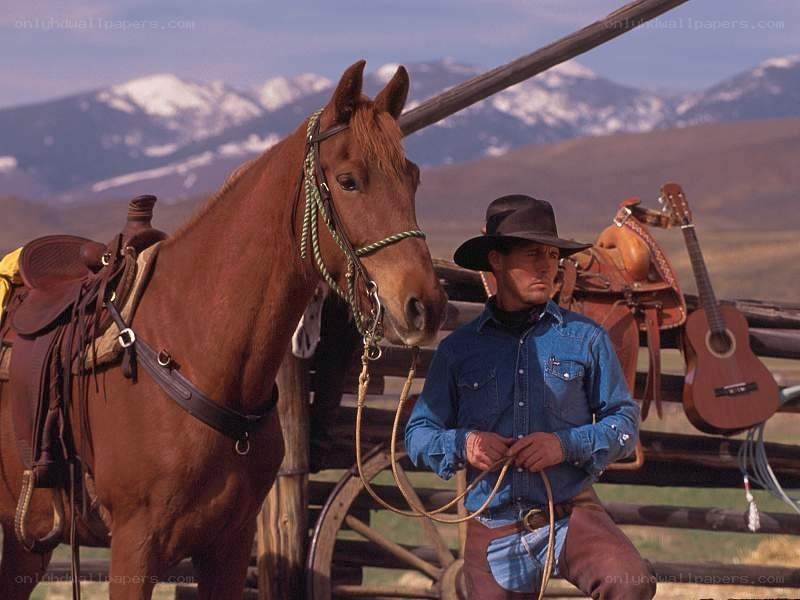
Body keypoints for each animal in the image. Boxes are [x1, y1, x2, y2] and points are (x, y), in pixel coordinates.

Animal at [0, 59, 448, 599]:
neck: (195, 352)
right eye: (348, 180)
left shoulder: (229, 545)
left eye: (413, 177)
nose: (425, 306)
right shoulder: (134, 546)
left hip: (24, 541)